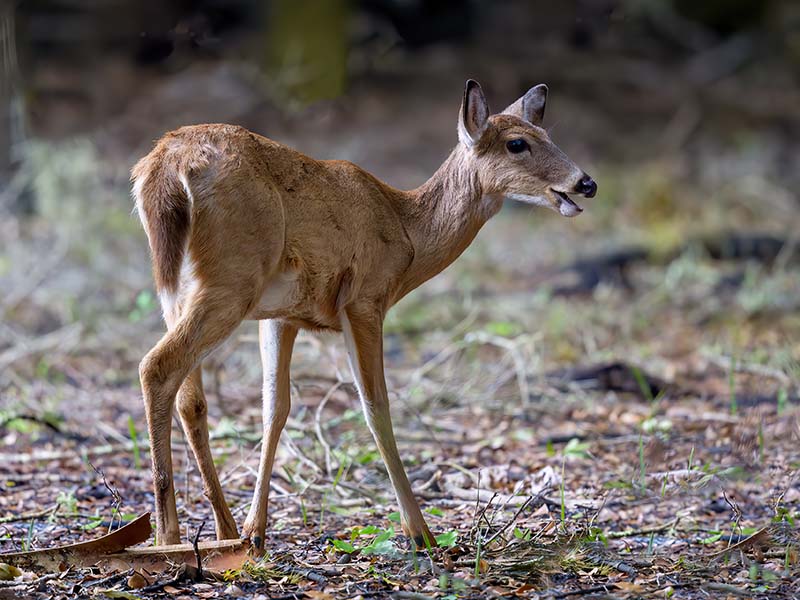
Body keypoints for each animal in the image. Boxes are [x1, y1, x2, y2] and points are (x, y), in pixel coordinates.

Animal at [132, 79, 597, 552]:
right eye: (517, 143)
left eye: (548, 134)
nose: (586, 183)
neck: (406, 231)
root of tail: (165, 164)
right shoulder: (365, 299)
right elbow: (376, 407)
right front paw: (420, 532)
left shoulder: (281, 315)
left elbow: (274, 408)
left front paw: (255, 533)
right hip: (232, 278)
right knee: (157, 366)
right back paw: (167, 537)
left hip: (178, 288)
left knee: (190, 398)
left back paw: (221, 532)